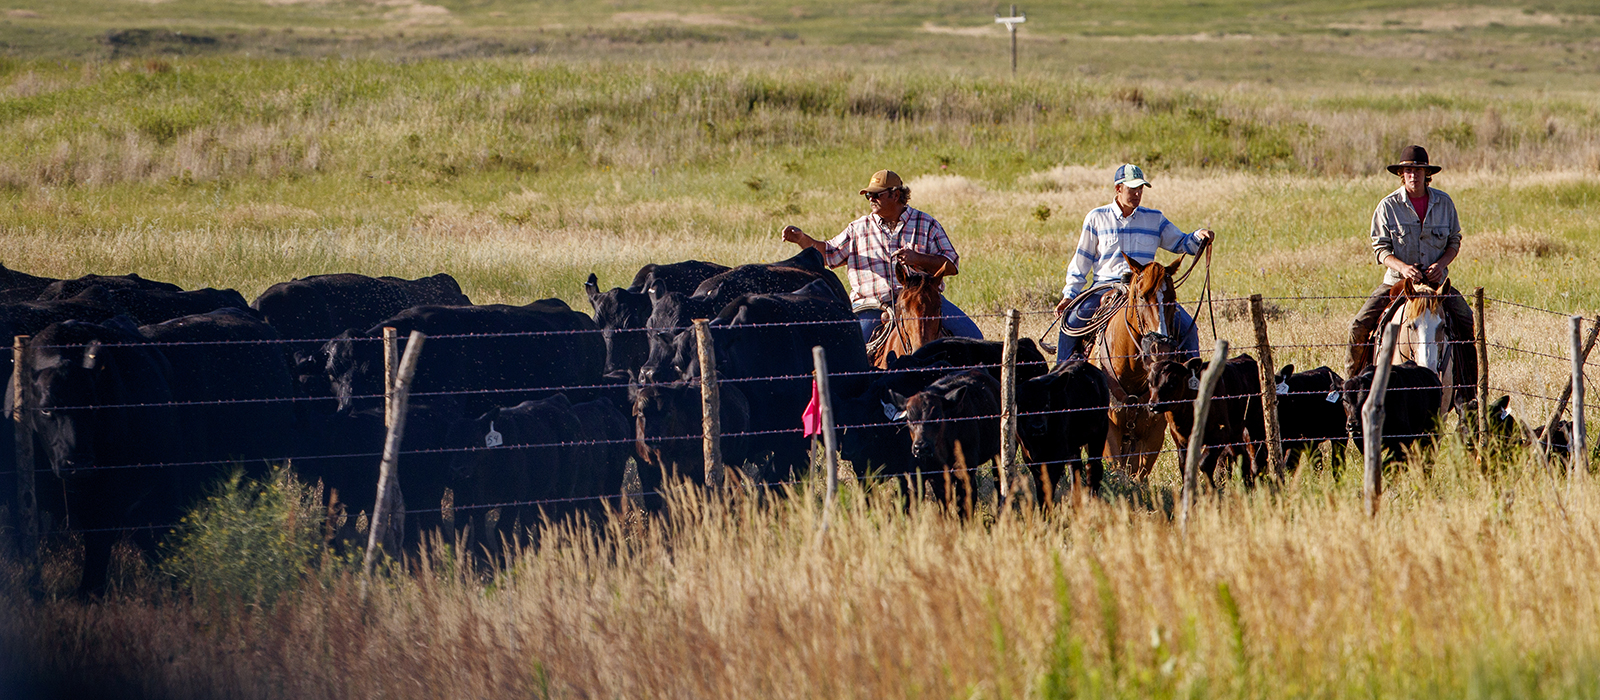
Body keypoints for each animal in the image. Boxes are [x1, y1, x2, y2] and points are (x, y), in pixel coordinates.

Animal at [889, 369, 998, 517]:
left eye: (937, 417)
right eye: (910, 419)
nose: (921, 447)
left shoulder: (965, 471)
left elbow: (963, 507)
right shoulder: (929, 475)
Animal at [1017, 361, 1107, 501]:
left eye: (1047, 403)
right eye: (1022, 405)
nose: (1038, 427)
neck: (1038, 442)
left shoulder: (1057, 454)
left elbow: (1049, 486)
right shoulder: (1029, 457)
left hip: (1100, 432)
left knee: (1093, 466)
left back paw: (1092, 499)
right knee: (1075, 466)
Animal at [1088, 255, 1190, 482]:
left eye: (1172, 298)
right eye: (1142, 296)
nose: (1161, 349)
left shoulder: (1154, 432)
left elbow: (1139, 477)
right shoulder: (1109, 431)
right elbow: (1117, 471)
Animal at [1145, 354, 1267, 485]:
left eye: (1173, 381)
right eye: (1149, 382)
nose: (1154, 405)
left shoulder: (1220, 433)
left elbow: (1204, 463)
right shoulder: (1179, 438)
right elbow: (1184, 465)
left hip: (1256, 422)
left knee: (1258, 456)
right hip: (1235, 431)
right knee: (1242, 457)